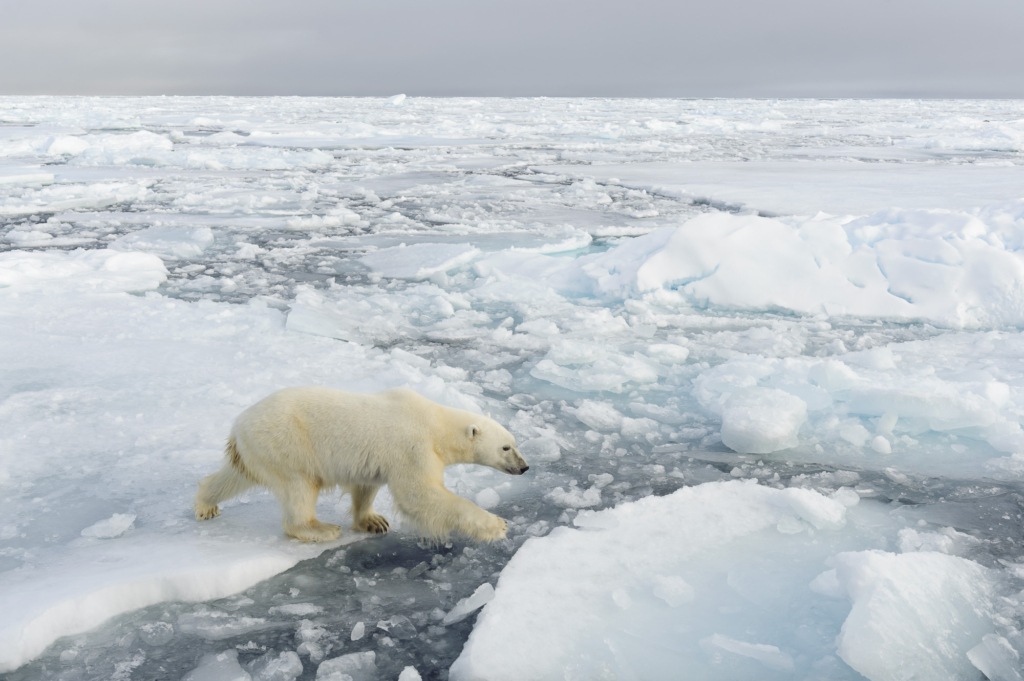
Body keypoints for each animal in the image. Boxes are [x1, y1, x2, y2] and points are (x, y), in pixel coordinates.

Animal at [193, 387, 528, 540]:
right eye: (506, 447)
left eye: (515, 442)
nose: (525, 467)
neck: (436, 424)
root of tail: (238, 426)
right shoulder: (413, 449)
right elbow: (420, 495)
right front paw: (497, 525)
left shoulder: (378, 458)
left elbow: (366, 484)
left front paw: (373, 521)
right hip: (288, 444)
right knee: (299, 487)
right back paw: (320, 528)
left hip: (257, 451)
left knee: (234, 476)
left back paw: (206, 504)